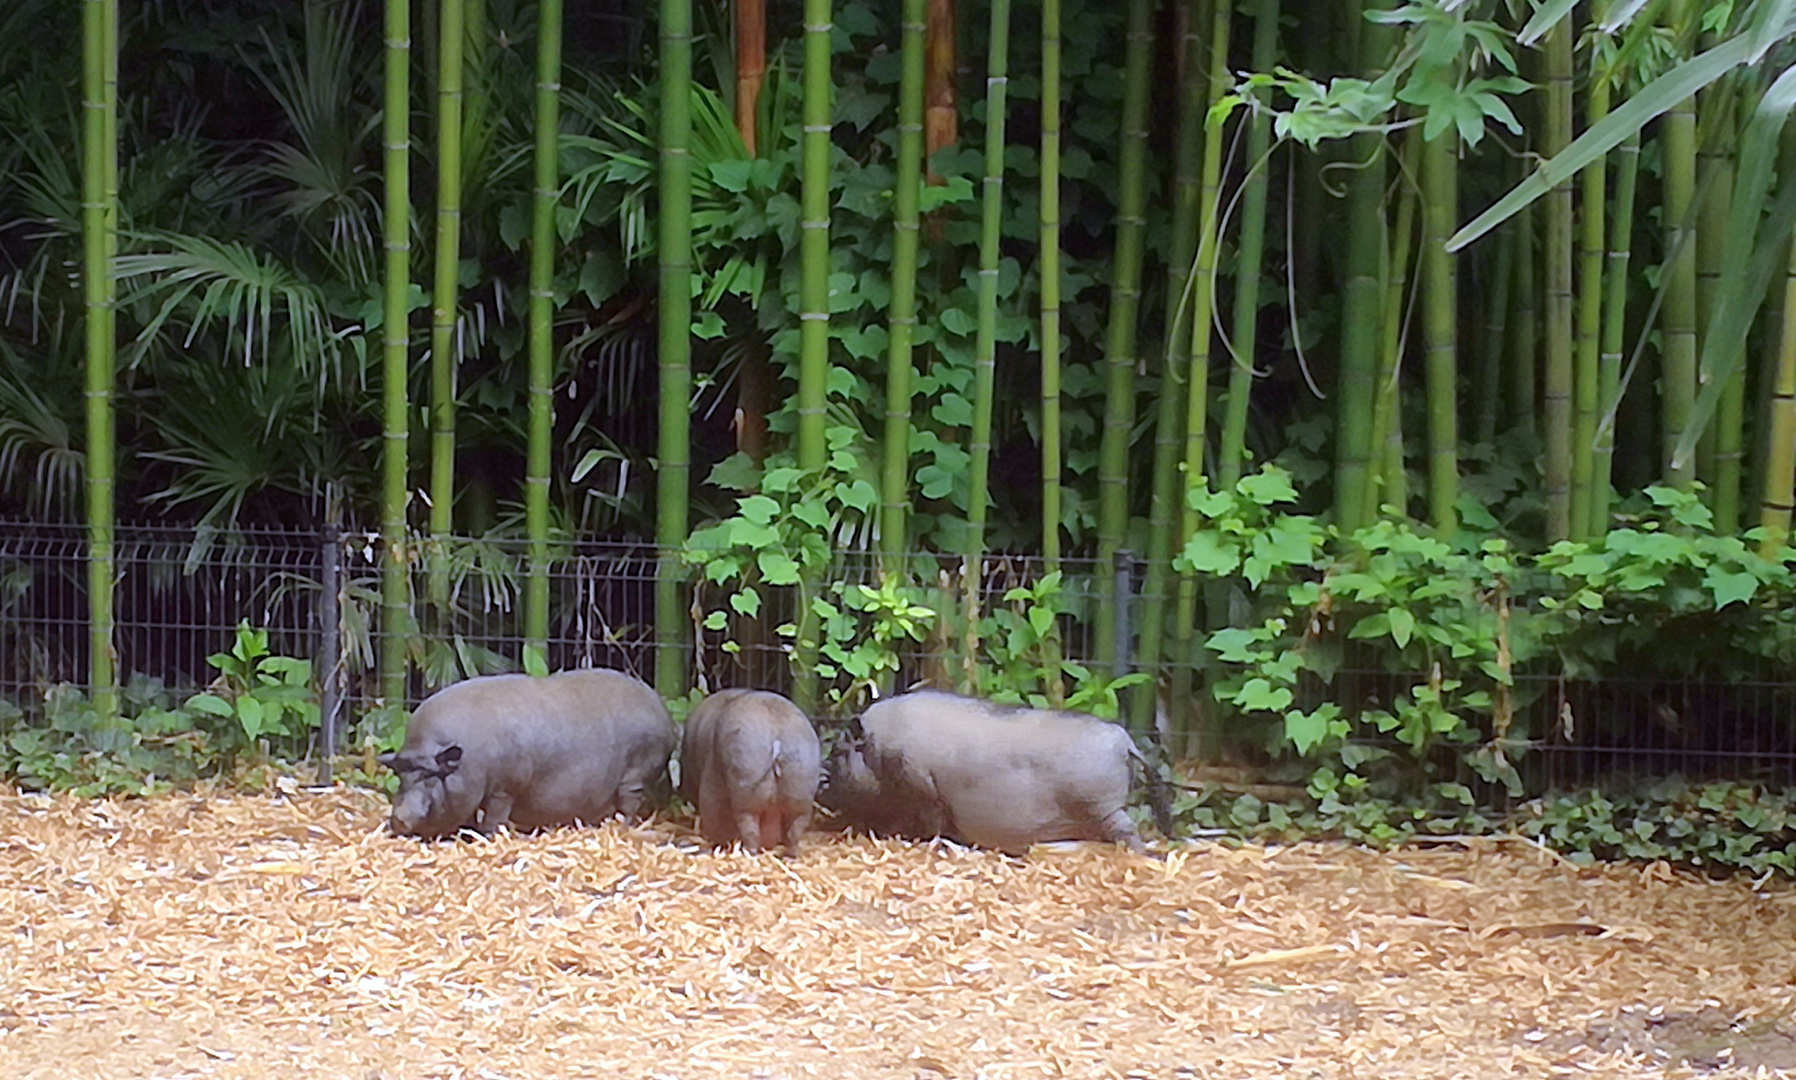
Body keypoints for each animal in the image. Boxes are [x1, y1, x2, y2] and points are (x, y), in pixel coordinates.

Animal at [375, 664, 675, 833]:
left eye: (430, 778)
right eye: (400, 778)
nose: (398, 819)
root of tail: (659, 706)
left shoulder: (504, 788)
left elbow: (493, 817)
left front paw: (488, 835)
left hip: (637, 772)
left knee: (629, 802)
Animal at [682, 686, 822, 855]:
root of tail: (776, 738)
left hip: (746, 795)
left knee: (749, 827)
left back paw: (747, 851)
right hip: (799, 791)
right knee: (795, 829)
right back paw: (790, 855)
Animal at [822, 690, 1170, 858]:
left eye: (838, 753)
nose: (823, 787)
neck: (878, 752)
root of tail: (1124, 741)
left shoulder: (923, 791)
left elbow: (928, 823)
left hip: (1103, 806)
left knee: (1126, 828)